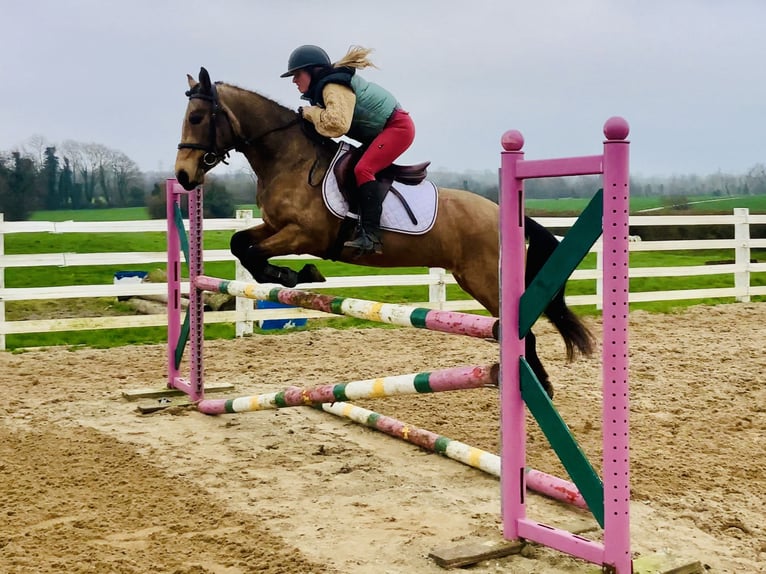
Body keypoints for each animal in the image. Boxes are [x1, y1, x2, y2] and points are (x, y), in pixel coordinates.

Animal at [174, 67, 594, 397]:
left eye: (196, 118)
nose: (183, 176)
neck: (288, 158)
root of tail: (507, 213)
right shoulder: (275, 226)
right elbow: (239, 243)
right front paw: (292, 274)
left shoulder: (305, 235)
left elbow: (253, 253)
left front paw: (294, 273)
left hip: (487, 281)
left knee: (524, 334)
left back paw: (537, 388)